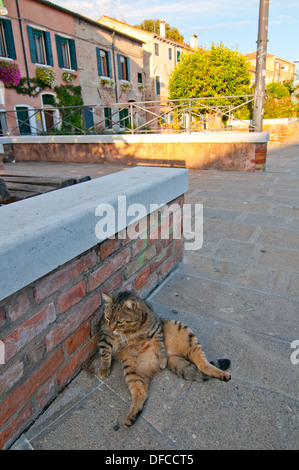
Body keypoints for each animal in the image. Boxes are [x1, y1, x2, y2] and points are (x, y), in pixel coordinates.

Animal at [98, 290, 232, 426]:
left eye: (119, 322)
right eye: (107, 318)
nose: (110, 328)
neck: (131, 331)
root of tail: (171, 355)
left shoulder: (156, 327)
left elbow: (160, 344)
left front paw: (161, 358)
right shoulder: (104, 335)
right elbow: (104, 353)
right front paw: (104, 368)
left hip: (181, 329)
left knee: (201, 363)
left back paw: (221, 373)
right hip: (131, 368)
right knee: (141, 393)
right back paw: (132, 415)